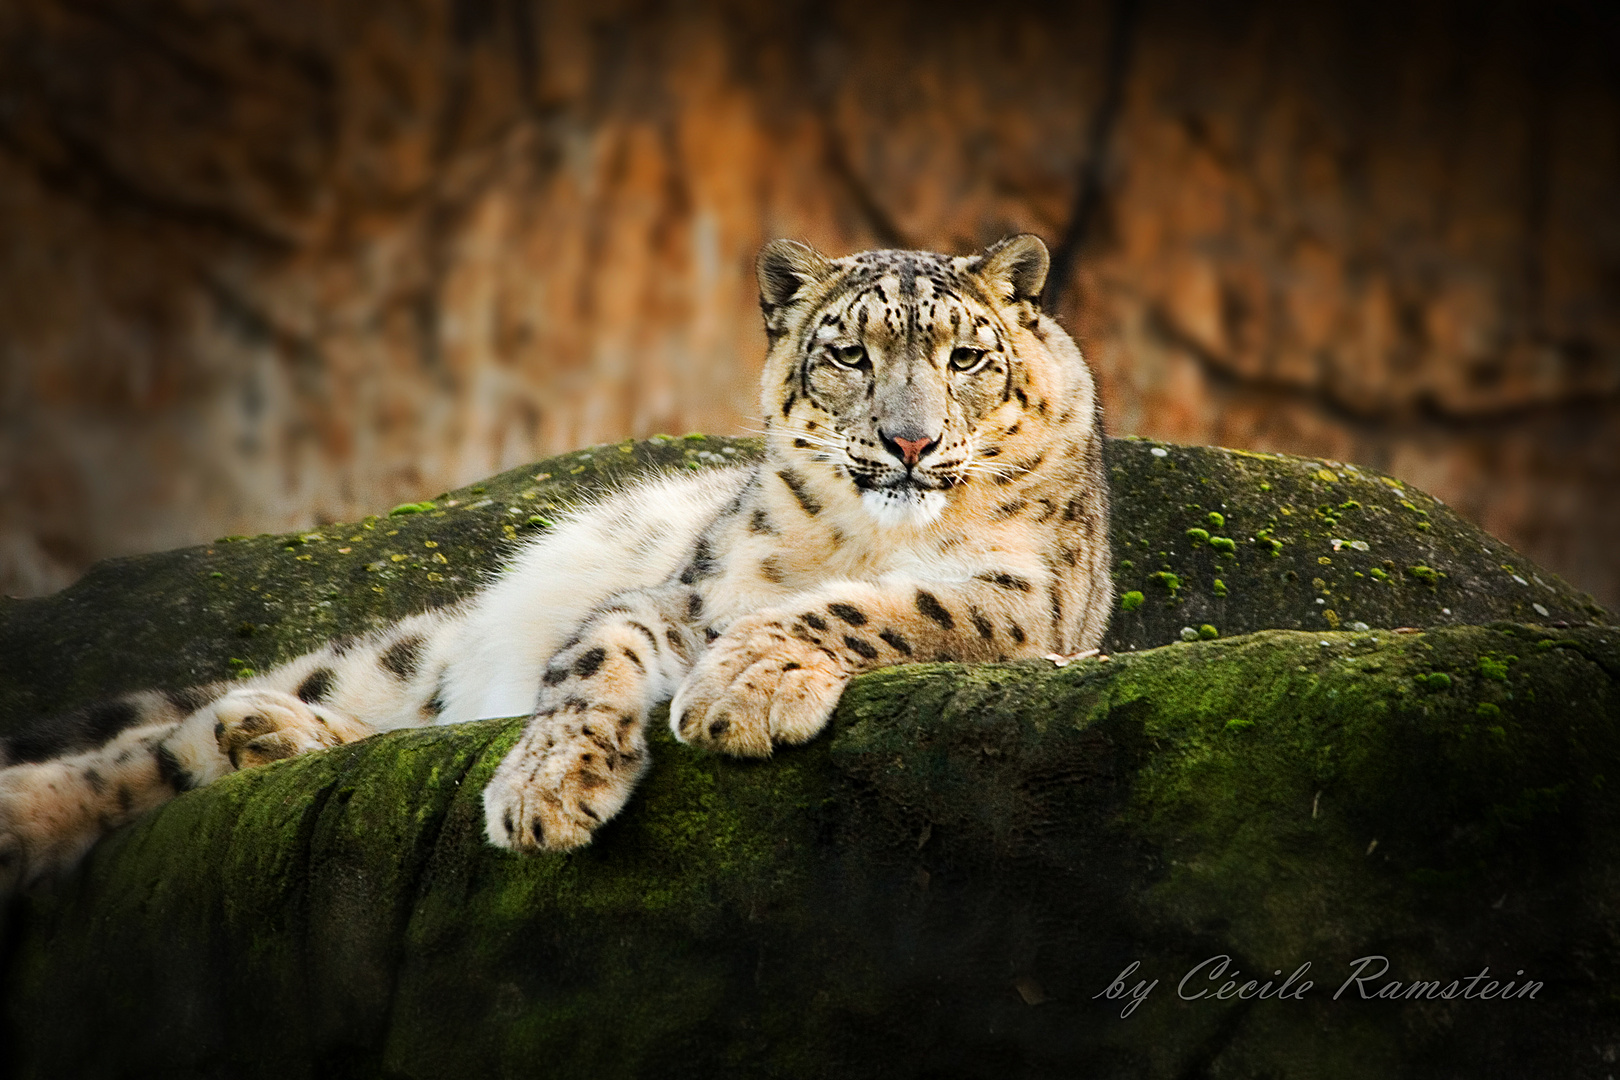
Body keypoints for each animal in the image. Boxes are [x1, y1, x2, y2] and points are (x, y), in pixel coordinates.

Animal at [0, 233, 1108, 893]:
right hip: (400, 660)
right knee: (153, 747)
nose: (910, 442)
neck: (866, 532)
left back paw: (271, 736)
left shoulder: (1023, 599)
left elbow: (878, 606)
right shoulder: (689, 593)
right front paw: (548, 785)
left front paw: (741, 689)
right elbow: (596, 651)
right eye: (850, 355)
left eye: (966, 357)